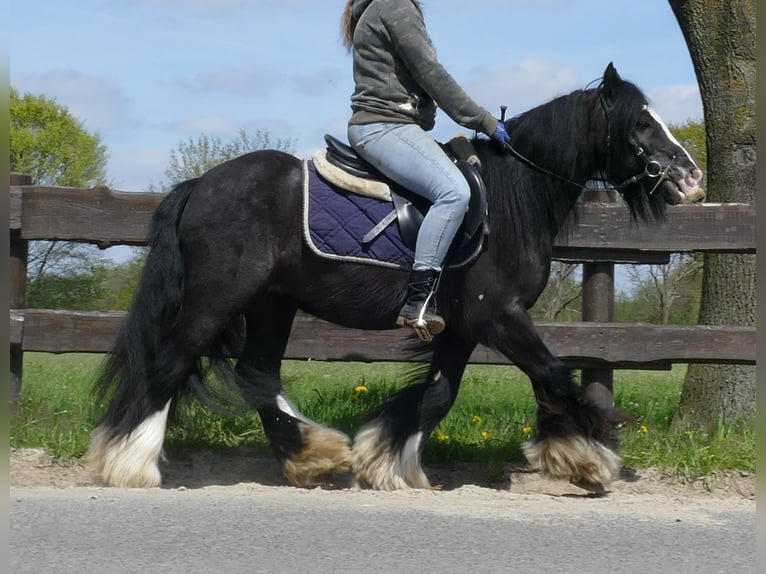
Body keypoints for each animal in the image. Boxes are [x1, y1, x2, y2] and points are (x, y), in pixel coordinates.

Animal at [87, 65, 704, 492]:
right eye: (641, 122)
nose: (692, 178)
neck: (510, 199)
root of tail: (202, 184)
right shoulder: (499, 314)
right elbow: (554, 375)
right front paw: (588, 459)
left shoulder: (463, 328)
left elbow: (437, 396)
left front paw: (386, 462)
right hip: (218, 297)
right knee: (172, 361)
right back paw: (131, 463)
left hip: (272, 303)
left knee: (256, 373)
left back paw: (312, 454)